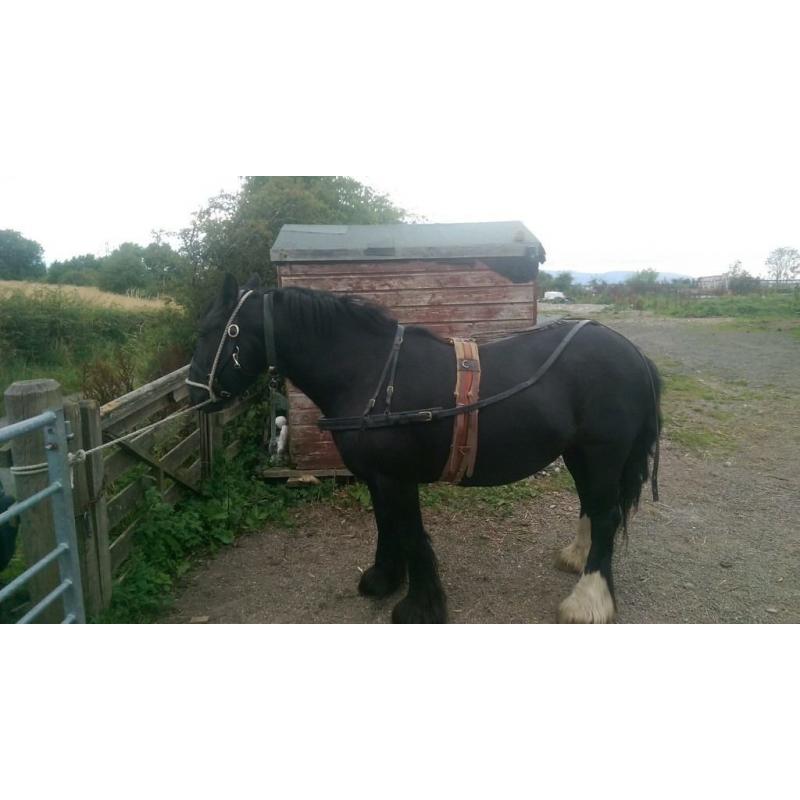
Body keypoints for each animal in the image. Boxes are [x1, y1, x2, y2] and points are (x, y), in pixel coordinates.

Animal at [187, 273, 662, 623]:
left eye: (212, 331)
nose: (192, 394)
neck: (370, 372)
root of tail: (634, 352)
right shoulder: (377, 478)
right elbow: (386, 526)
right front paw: (383, 579)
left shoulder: (397, 478)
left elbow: (411, 535)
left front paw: (420, 605)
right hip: (580, 454)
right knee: (591, 507)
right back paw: (577, 560)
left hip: (602, 453)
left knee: (606, 516)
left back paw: (588, 600)